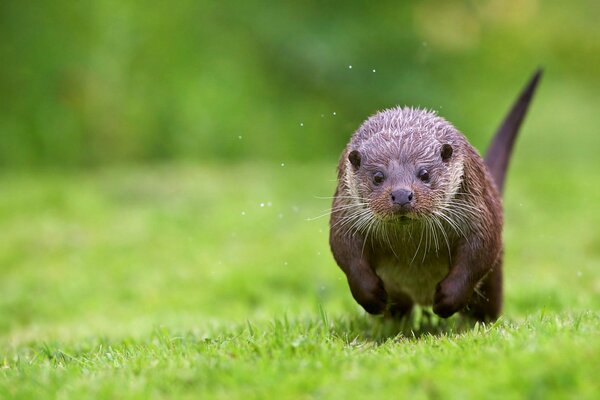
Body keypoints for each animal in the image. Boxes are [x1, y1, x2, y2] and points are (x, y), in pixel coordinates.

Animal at [330, 69, 540, 322]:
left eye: (424, 173)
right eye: (378, 176)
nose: (402, 195)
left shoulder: (478, 214)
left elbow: (479, 253)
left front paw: (448, 299)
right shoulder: (345, 212)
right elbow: (345, 251)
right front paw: (371, 296)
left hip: (495, 277)